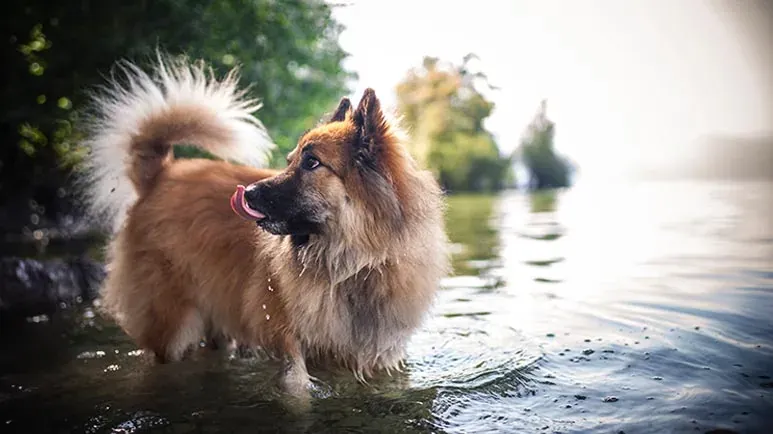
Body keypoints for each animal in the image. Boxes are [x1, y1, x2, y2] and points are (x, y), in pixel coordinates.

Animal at [80, 54, 446, 394]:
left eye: (311, 163)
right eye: (290, 161)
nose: (248, 193)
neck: (351, 266)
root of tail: (160, 173)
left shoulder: (377, 355)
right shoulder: (287, 342)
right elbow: (297, 388)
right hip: (173, 324)